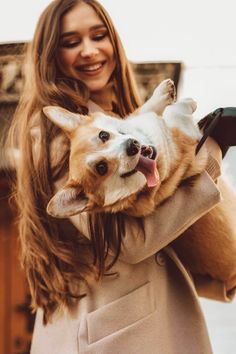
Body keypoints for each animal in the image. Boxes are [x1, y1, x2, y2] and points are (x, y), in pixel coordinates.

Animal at [43, 80, 236, 284]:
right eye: (101, 168)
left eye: (103, 135)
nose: (132, 146)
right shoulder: (184, 139)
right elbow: (172, 114)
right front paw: (182, 105)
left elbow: (140, 114)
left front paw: (162, 95)